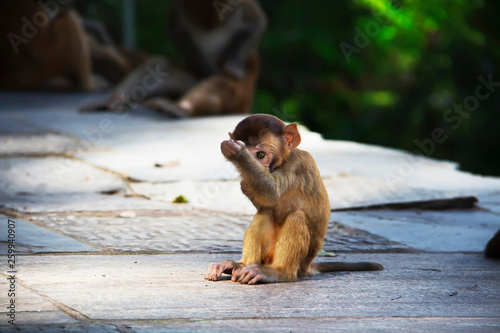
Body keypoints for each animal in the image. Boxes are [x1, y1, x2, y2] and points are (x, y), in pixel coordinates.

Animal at [81, 0, 270, 116]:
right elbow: (175, 29)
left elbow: (256, 20)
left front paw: (231, 63)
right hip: (189, 79)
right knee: (161, 65)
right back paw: (112, 100)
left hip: (241, 93)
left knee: (223, 81)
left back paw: (182, 108)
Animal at [204, 115, 382, 284]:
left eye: (260, 155)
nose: (259, 166)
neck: (283, 159)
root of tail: (307, 267)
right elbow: (267, 202)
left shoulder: (296, 164)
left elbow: (272, 193)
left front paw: (237, 153)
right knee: (266, 212)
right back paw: (240, 265)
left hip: (299, 262)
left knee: (297, 216)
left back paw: (278, 272)